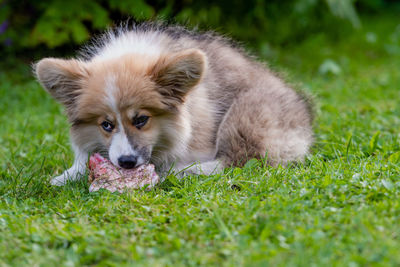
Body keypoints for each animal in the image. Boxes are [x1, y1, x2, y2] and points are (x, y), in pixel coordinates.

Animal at [34, 23, 314, 186]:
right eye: (106, 125)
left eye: (141, 120)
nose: (126, 162)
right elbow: (81, 159)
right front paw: (68, 175)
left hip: (246, 113)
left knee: (238, 160)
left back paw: (182, 171)